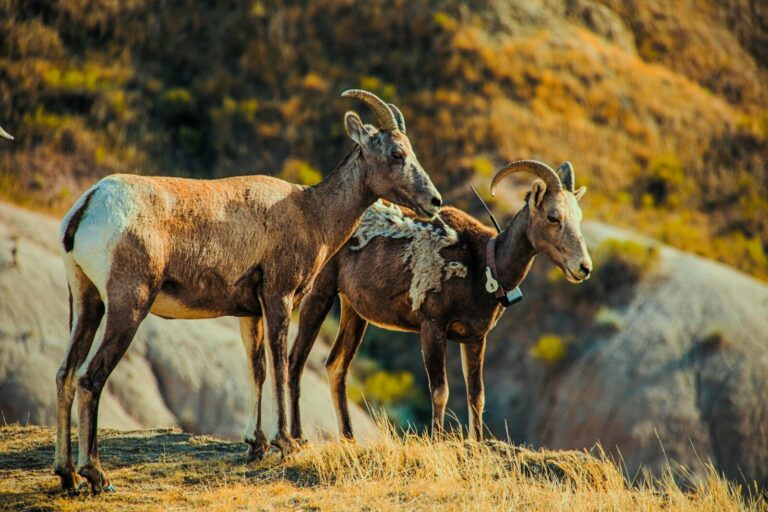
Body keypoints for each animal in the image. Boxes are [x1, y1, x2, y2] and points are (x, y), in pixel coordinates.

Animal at [54, 90, 442, 492]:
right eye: (396, 154)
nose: (434, 201)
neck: (311, 213)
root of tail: (89, 205)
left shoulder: (250, 313)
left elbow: (257, 369)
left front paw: (256, 445)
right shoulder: (278, 298)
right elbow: (280, 365)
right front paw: (286, 443)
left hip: (86, 303)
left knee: (65, 373)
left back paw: (67, 475)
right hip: (127, 307)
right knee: (89, 378)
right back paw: (96, 475)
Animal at [288, 160, 592, 441]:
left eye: (578, 217)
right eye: (553, 217)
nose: (584, 267)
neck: (483, 267)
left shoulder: (475, 338)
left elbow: (476, 394)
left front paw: (476, 443)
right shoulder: (433, 328)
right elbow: (440, 391)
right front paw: (437, 440)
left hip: (354, 312)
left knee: (336, 366)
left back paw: (349, 438)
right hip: (319, 294)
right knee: (296, 360)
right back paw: (296, 436)